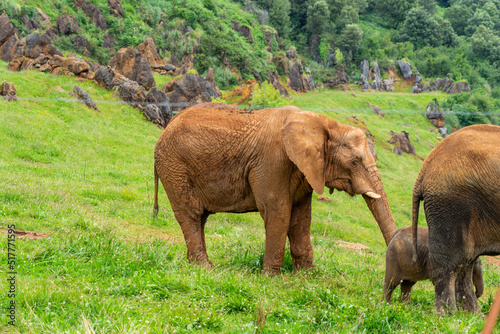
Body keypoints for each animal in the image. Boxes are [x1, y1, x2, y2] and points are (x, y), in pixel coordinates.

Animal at [154, 103, 396, 274]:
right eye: (355, 161)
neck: (323, 123)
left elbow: (301, 218)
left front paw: (306, 276)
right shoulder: (272, 161)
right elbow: (277, 211)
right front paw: (271, 277)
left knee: (201, 216)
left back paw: (200, 265)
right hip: (174, 166)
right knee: (191, 213)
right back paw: (204, 268)